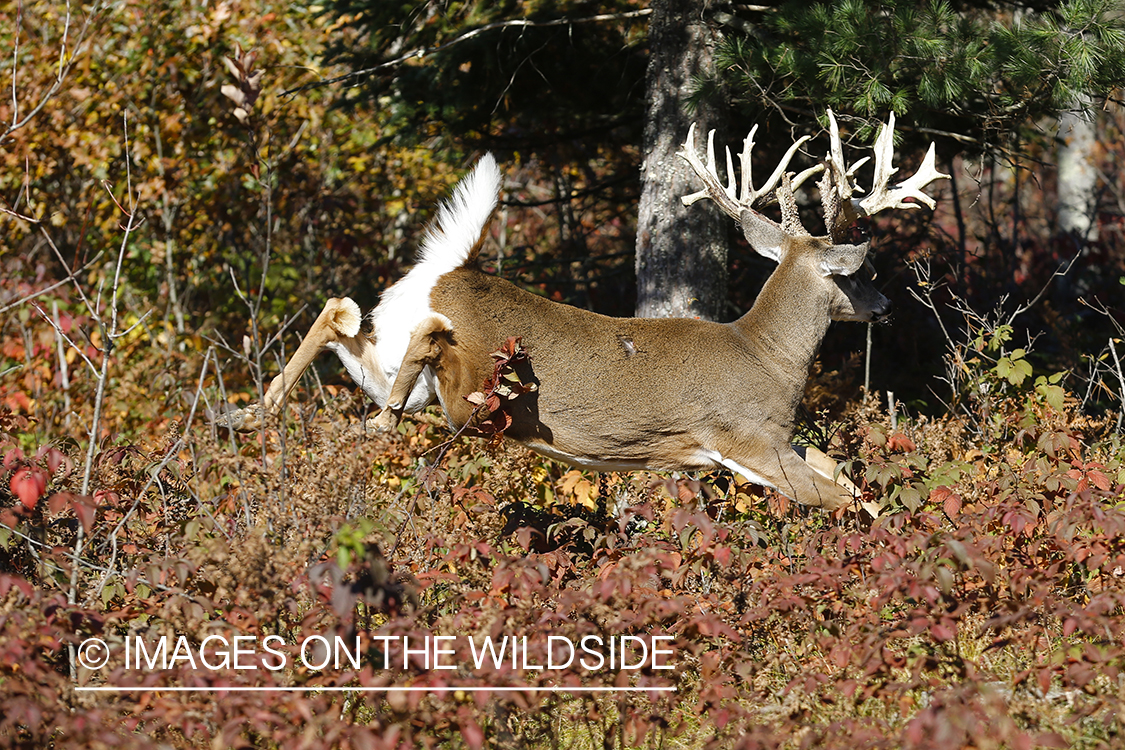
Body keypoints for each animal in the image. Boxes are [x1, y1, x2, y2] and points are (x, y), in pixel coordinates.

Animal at [214, 111, 945, 519]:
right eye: (858, 273)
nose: (884, 306)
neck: (766, 355)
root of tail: (449, 272)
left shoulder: (768, 441)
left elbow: (839, 470)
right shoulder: (747, 436)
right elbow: (843, 494)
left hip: (398, 361)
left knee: (341, 313)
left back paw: (247, 414)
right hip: (466, 391)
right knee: (428, 352)